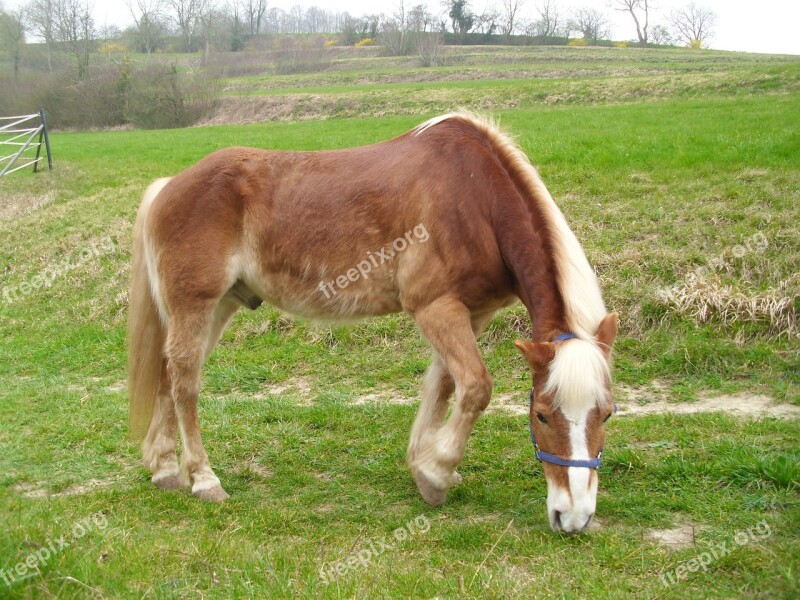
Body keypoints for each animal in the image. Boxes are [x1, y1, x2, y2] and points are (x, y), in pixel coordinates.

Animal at [130, 112, 620, 536]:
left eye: (608, 413)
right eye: (541, 414)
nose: (574, 517)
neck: (475, 198)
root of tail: (167, 186)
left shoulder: (470, 313)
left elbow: (443, 385)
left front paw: (424, 462)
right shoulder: (437, 308)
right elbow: (475, 387)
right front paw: (436, 474)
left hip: (218, 307)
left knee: (170, 374)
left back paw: (164, 468)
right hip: (196, 305)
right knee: (185, 383)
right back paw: (204, 479)